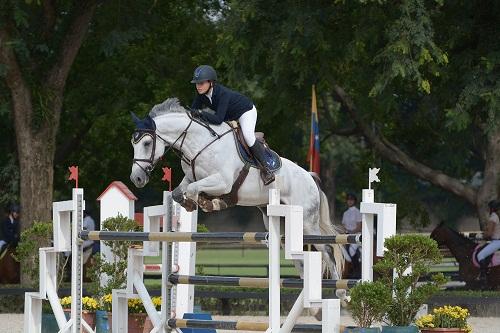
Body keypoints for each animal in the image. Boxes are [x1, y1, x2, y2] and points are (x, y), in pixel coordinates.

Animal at [131, 97, 346, 282]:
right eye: (133, 144)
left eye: (147, 143)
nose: (137, 178)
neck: (199, 144)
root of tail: (309, 177)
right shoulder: (192, 177)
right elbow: (179, 191)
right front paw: (193, 203)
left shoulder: (223, 181)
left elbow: (193, 189)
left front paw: (209, 203)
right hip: (282, 221)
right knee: (299, 257)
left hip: (307, 222)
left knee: (327, 249)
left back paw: (339, 292)